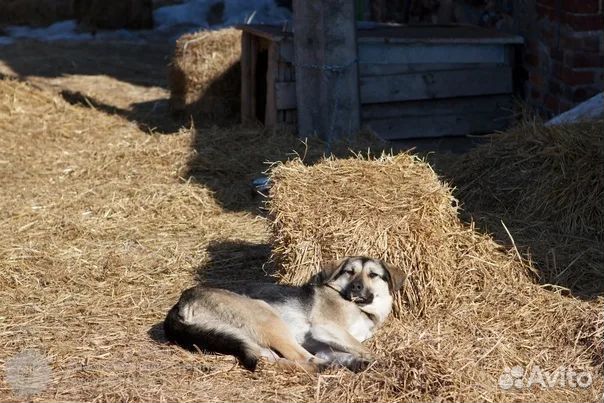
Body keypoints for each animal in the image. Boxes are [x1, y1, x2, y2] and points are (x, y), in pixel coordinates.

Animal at [164, 258, 406, 374]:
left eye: (373, 275)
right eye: (349, 272)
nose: (356, 287)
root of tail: (180, 303)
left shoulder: (324, 344)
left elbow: (345, 350)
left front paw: (355, 360)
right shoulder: (325, 328)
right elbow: (363, 347)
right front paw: (380, 359)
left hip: (244, 339)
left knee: (273, 359)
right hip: (268, 317)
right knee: (299, 356)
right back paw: (329, 367)